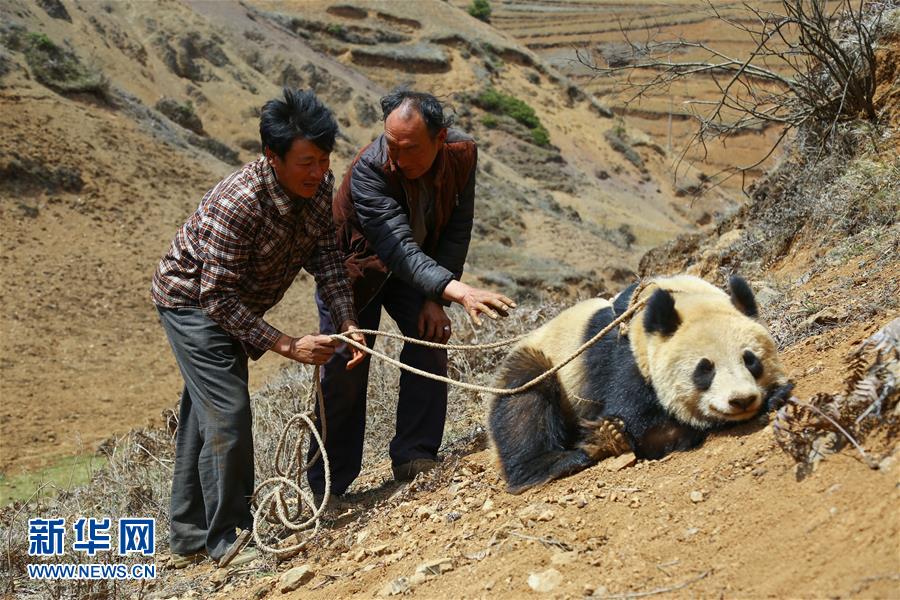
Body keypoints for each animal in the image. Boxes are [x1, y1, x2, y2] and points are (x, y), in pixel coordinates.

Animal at [488, 274, 792, 494]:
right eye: (705, 369)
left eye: (751, 360)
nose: (741, 400)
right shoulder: (626, 358)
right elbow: (643, 427)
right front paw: (612, 434)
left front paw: (776, 394)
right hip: (547, 368)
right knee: (524, 401)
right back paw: (554, 464)